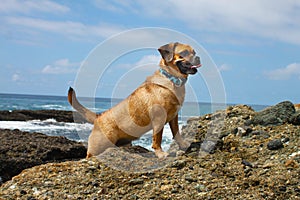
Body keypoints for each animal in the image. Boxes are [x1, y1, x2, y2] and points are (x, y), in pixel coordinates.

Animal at [68, 42, 202, 159]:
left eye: (194, 52)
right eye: (184, 53)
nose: (198, 57)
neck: (172, 79)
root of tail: (98, 117)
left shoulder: (174, 116)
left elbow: (176, 132)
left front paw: (183, 145)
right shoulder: (159, 118)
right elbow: (157, 138)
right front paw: (160, 154)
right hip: (98, 146)